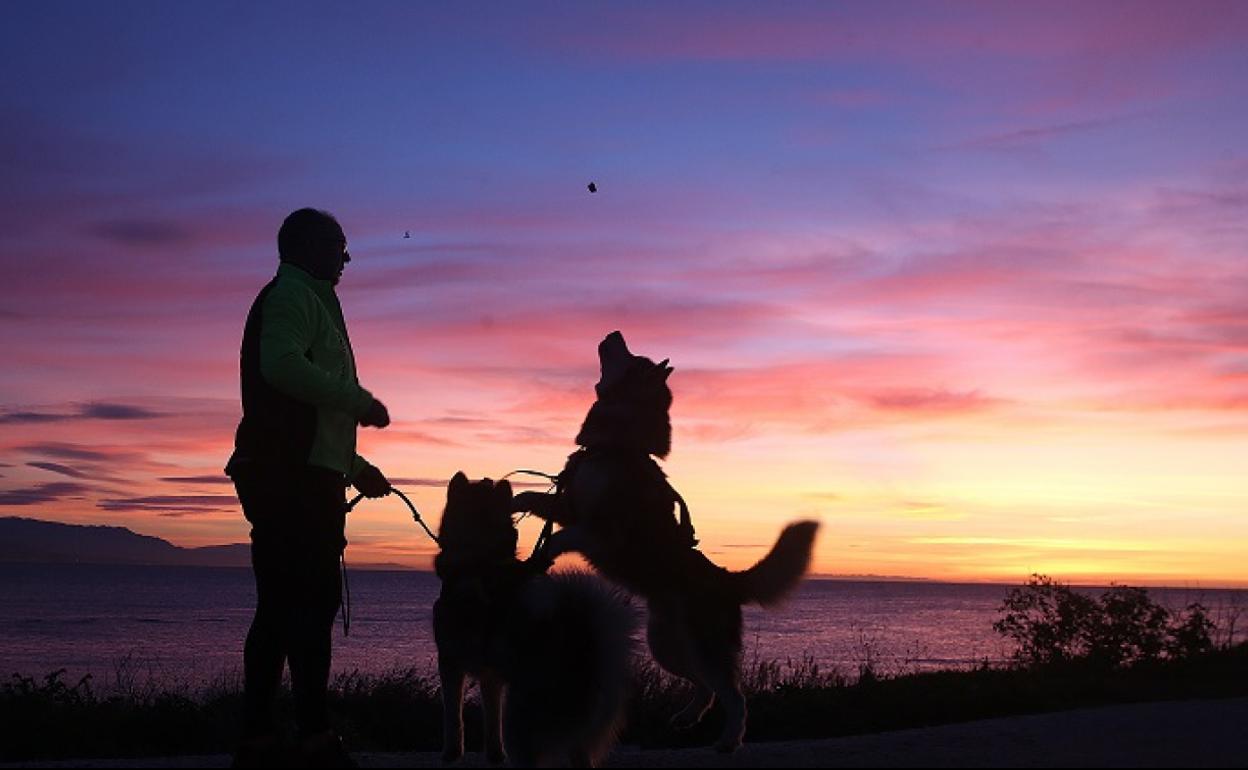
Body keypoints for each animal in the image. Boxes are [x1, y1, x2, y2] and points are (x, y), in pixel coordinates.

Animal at [434, 471, 638, 763]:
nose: (487, 477)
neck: (480, 561)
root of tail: (585, 651)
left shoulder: (450, 662)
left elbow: (453, 718)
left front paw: (451, 753)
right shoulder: (490, 675)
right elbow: (491, 720)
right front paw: (494, 755)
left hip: (520, 723)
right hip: (576, 735)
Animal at [516, 331, 818, 748]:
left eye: (633, 357)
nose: (614, 334)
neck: (617, 447)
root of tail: (727, 579)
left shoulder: (601, 529)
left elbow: (562, 537)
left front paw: (541, 555)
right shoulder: (568, 506)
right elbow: (530, 498)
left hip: (702, 646)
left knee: (734, 695)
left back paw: (729, 740)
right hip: (666, 645)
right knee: (706, 687)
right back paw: (687, 717)